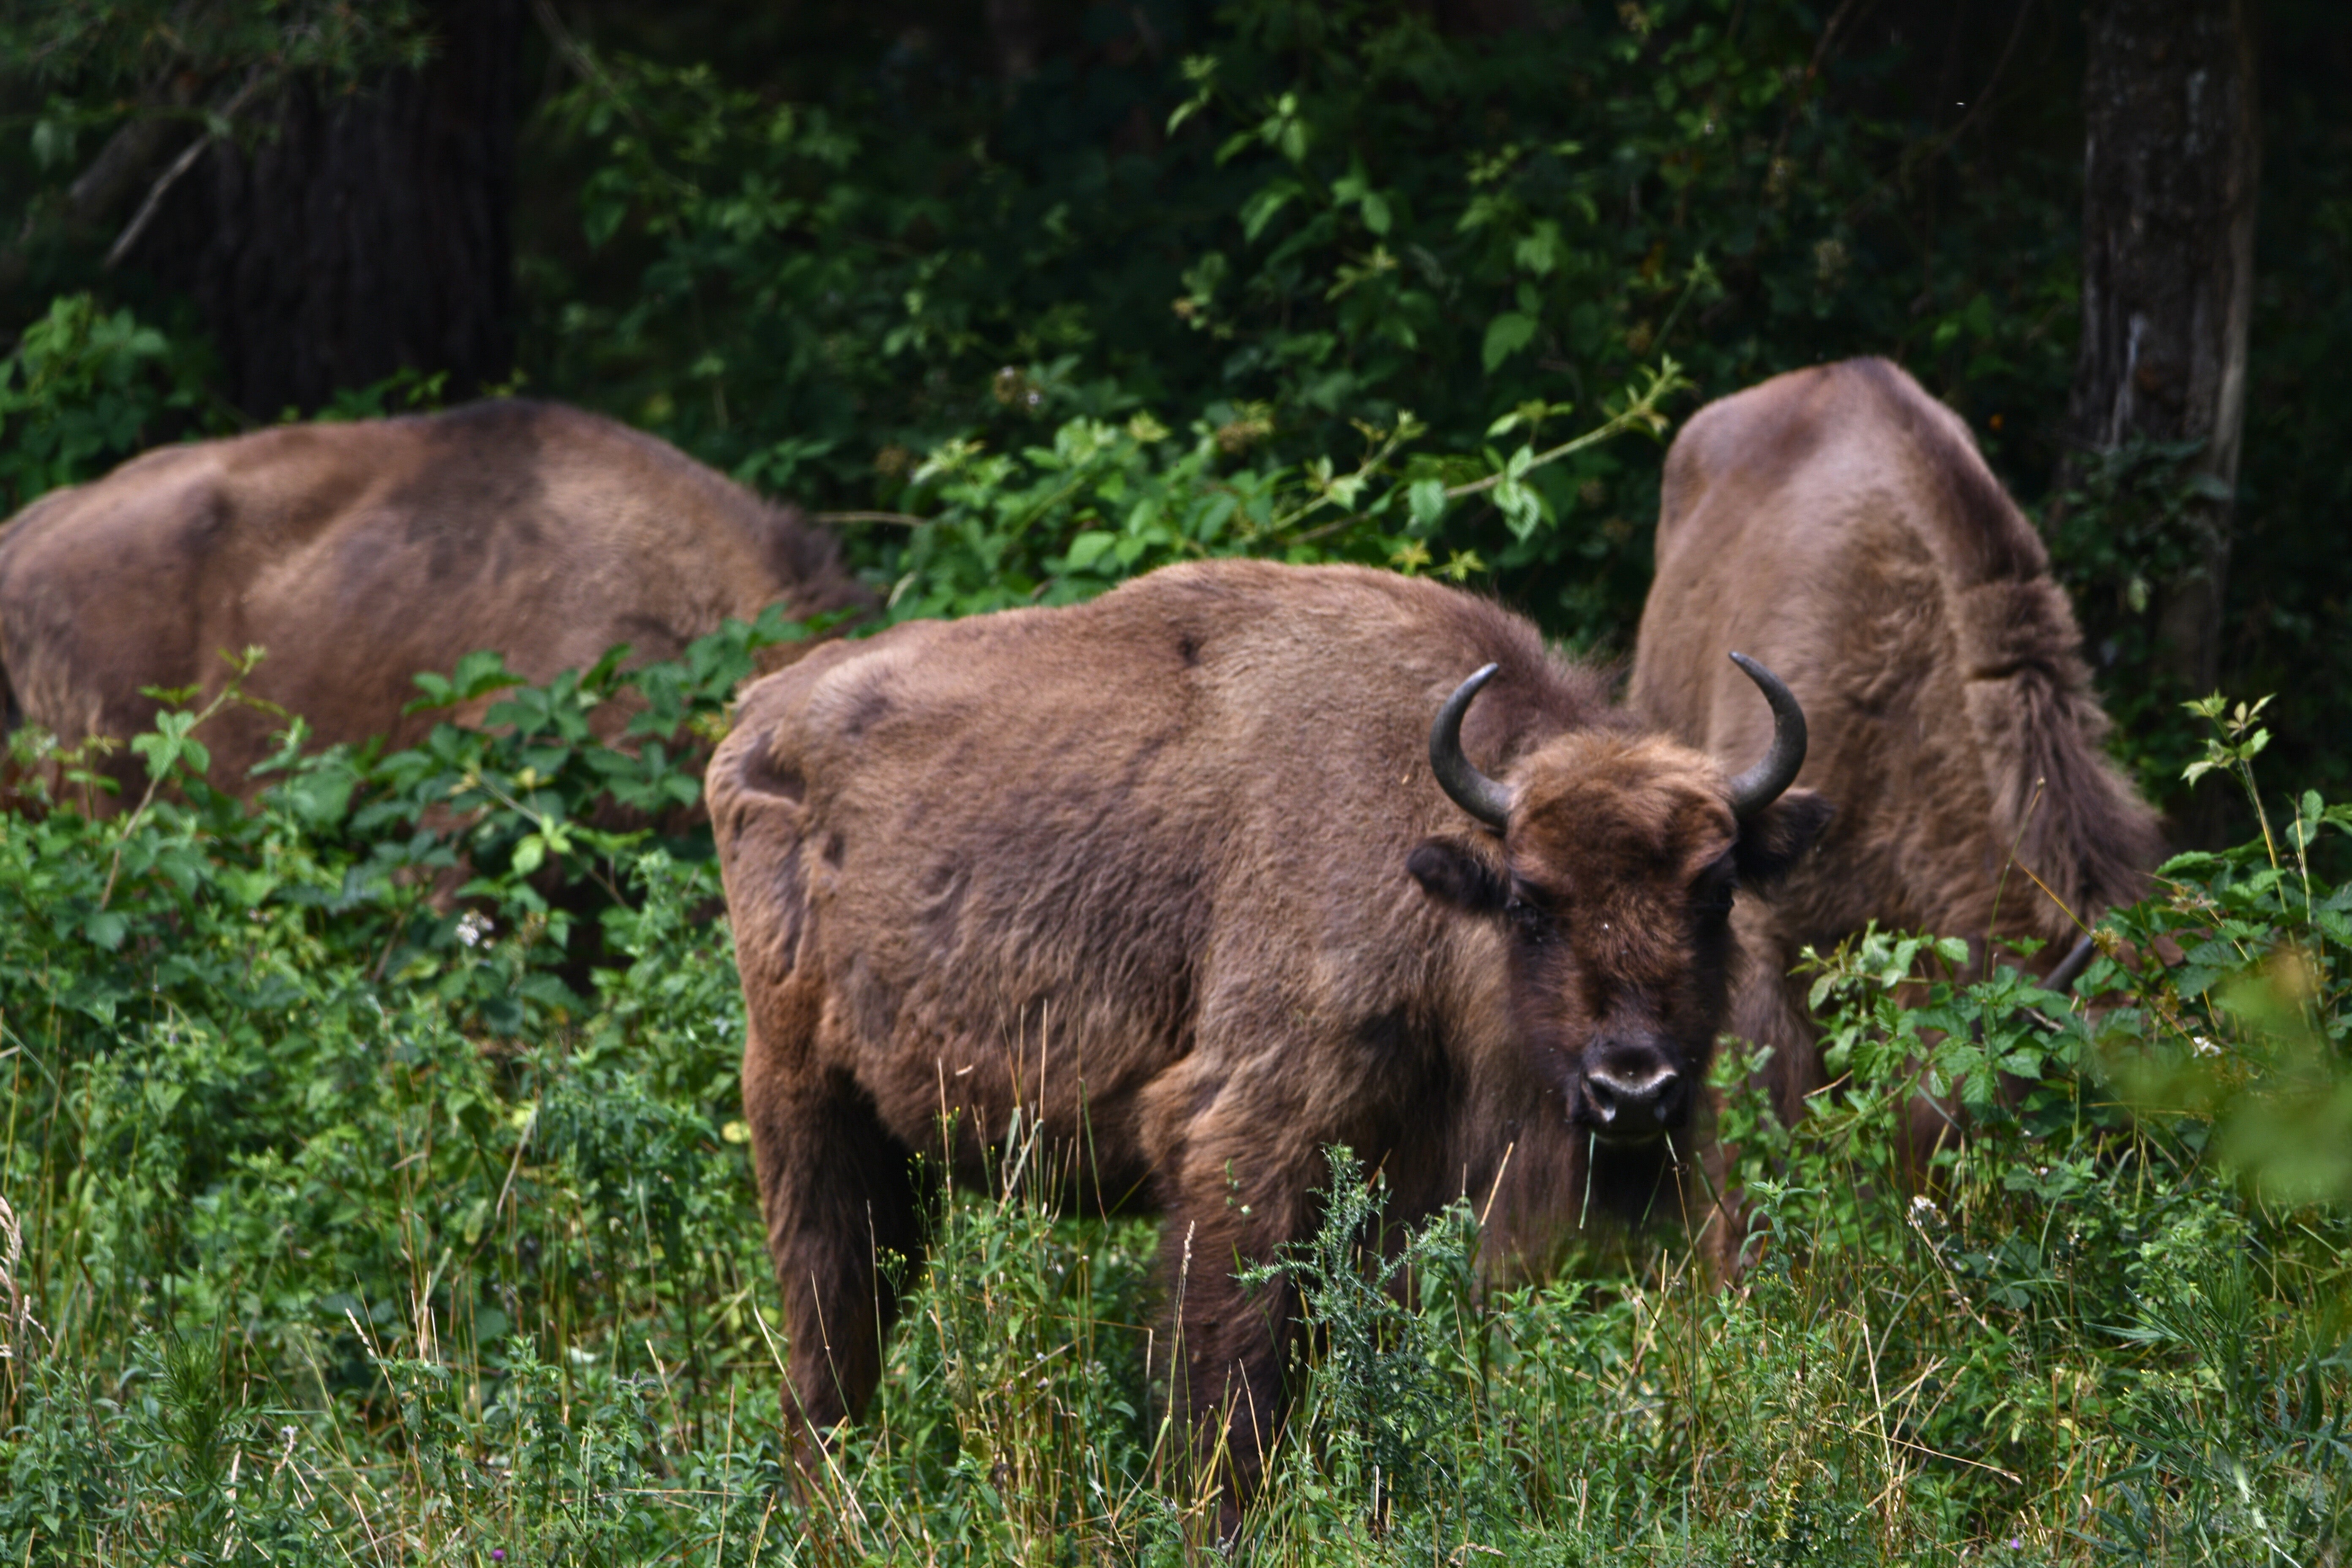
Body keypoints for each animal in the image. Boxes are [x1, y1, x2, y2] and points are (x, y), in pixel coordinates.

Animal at [705, 555, 1825, 1523]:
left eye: (1715, 891)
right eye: (1529, 901)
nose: (1632, 1087)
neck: (1414, 845)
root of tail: (756, 724)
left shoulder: (1400, 1181)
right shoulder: (1246, 1144)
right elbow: (1231, 1379)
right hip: (808, 1110)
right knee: (830, 1339)